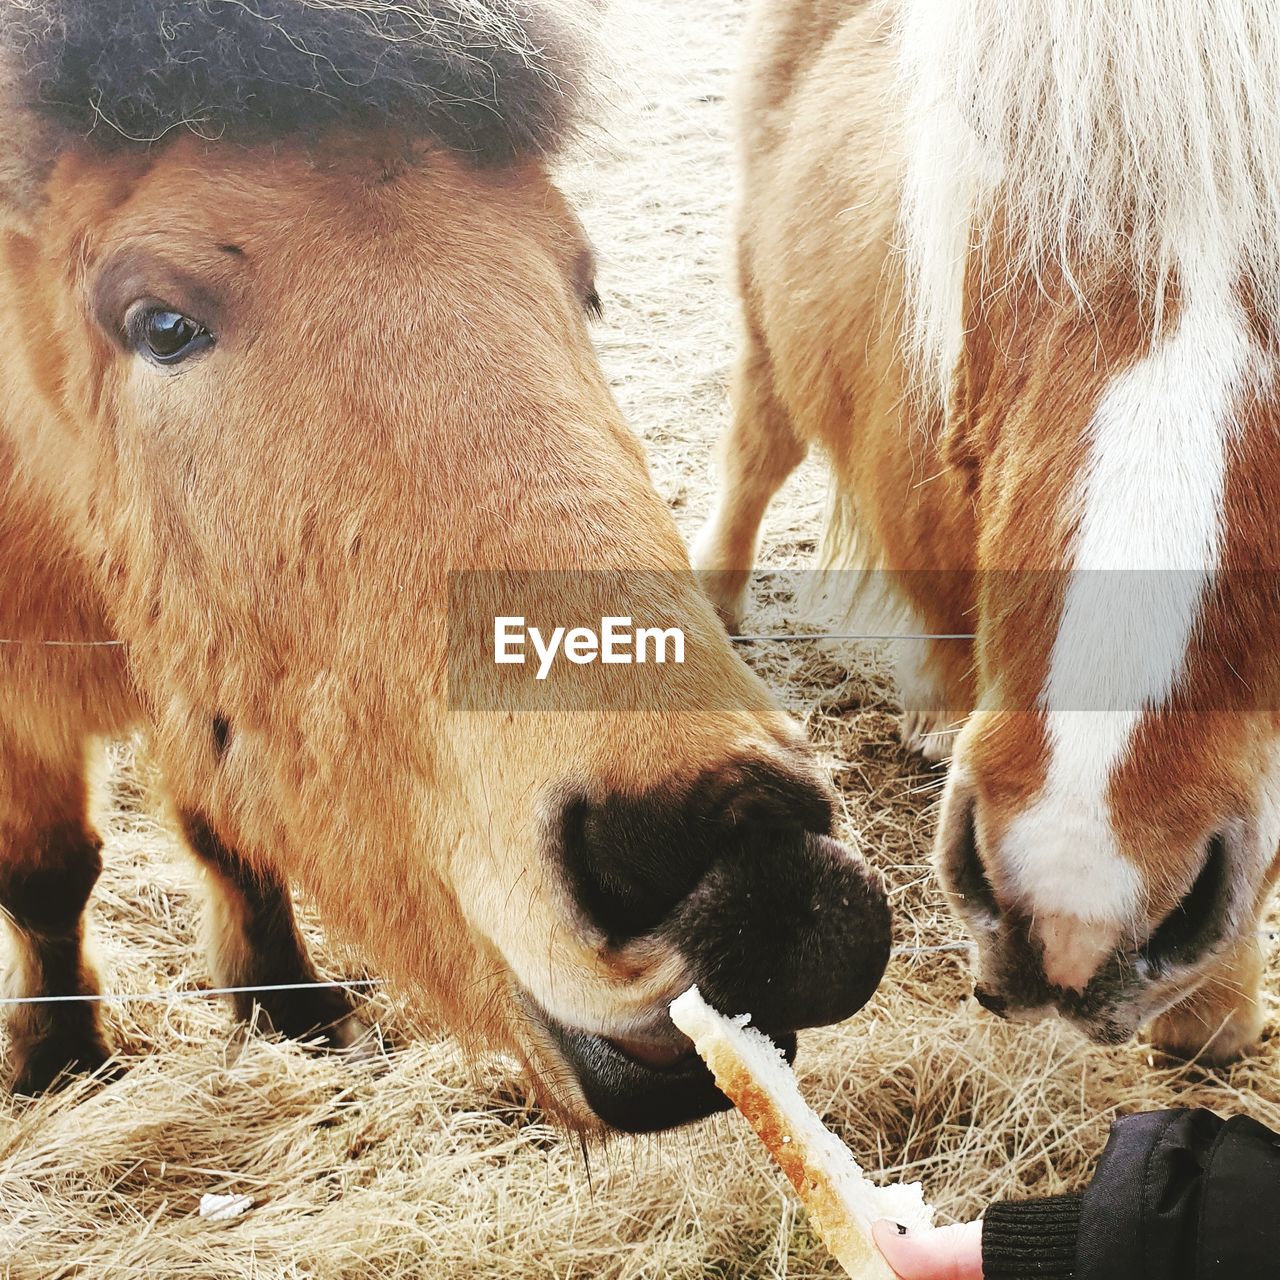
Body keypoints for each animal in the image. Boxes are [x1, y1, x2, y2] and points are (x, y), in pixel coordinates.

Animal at [0, 0, 890, 1136]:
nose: (760, 873)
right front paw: (59, 1057)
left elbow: (229, 833)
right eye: (160, 323)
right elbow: (46, 872)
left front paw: (288, 1004)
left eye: (584, 284)